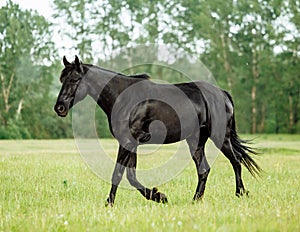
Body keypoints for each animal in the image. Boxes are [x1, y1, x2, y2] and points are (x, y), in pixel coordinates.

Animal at [55, 56, 262, 207]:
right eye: (61, 79)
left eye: (74, 79)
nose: (60, 108)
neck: (124, 98)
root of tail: (222, 94)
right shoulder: (132, 143)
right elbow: (131, 176)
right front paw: (158, 196)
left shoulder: (127, 142)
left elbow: (118, 174)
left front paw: (110, 203)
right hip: (196, 142)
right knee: (204, 170)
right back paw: (195, 200)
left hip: (220, 137)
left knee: (236, 161)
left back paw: (240, 193)